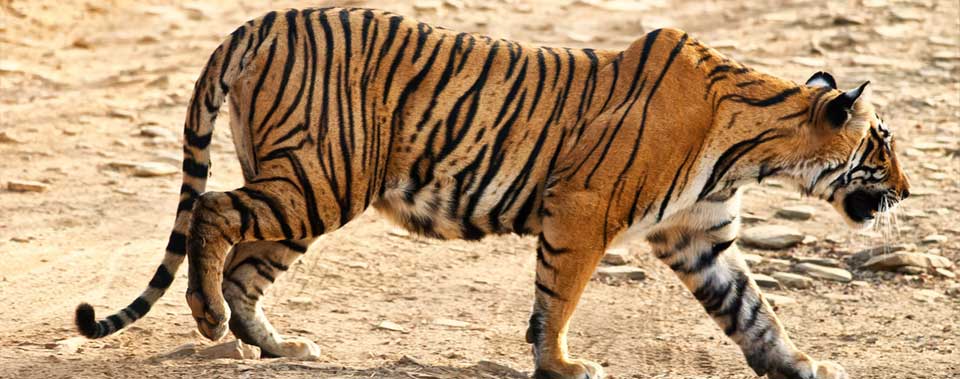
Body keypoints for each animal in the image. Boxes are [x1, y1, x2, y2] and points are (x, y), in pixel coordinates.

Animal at [73, 6, 908, 379]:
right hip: (319, 177)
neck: (751, 148)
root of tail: (256, 22)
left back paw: (279, 345)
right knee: (215, 212)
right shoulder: (582, 210)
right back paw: (209, 317)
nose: (906, 190)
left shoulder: (700, 236)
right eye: (884, 146)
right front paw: (563, 365)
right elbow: (558, 297)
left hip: (309, 191)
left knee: (247, 262)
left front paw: (802, 365)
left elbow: (754, 310)